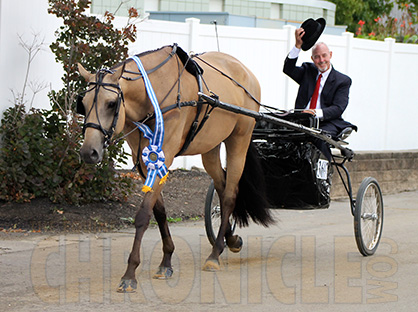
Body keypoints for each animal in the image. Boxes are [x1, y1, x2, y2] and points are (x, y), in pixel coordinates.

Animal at [77, 44, 274, 292]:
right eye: (82, 104)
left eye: (112, 103)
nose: (88, 152)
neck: (154, 96)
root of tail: (246, 71)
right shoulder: (146, 161)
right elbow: (159, 212)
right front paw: (166, 260)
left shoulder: (164, 155)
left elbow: (143, 214)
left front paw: (130, 273)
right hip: (210, 147)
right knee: (221, 188)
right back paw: (229, 239)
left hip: (239, 139)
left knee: (230, 194)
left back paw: (215, 254)